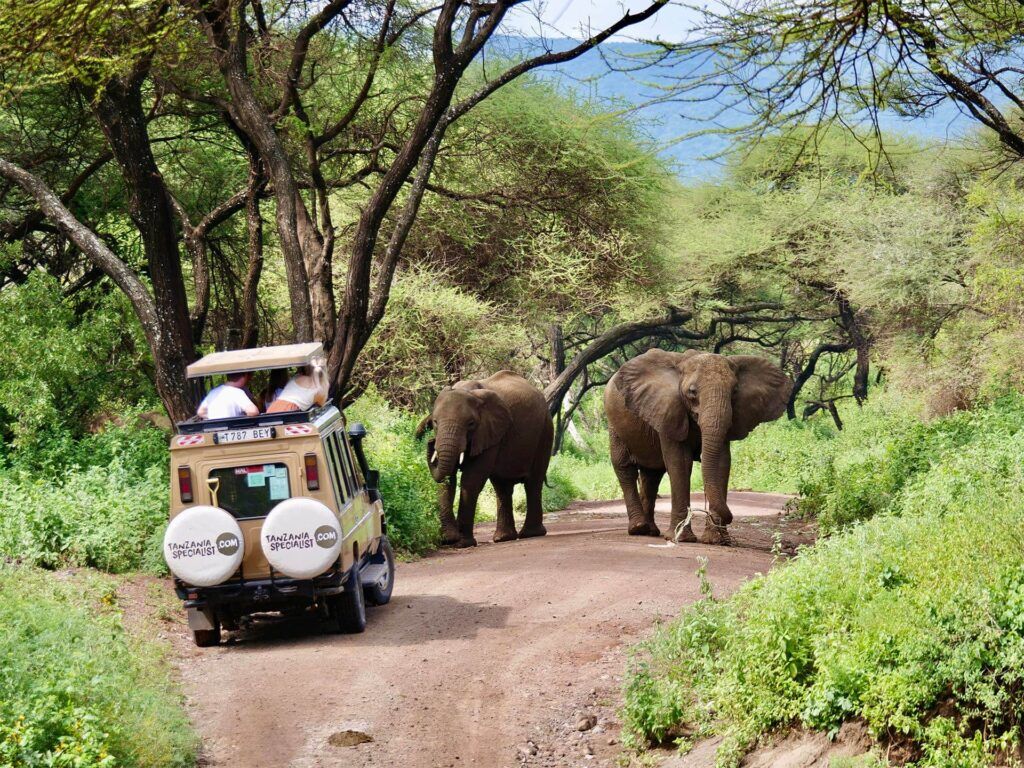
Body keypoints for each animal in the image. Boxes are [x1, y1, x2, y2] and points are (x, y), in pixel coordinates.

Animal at [413, 370, 552, 548]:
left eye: (471, 423)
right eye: (435, 422)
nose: (430, 441)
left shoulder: (490, 433)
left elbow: (471, 480)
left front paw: (462, 543)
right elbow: (447, 481)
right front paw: (449, 539)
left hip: (545, 431)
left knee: (533, 483)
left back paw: (530, 534)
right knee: (502, 487)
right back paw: (503, 538)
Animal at [598, 348, 790, 548]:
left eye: (735, 391)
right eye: (692, 392)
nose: (729, 517)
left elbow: (722, 463)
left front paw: (716, 540)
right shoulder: (669, 411)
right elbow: (680, 463)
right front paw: (681, 538)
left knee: (652, 476)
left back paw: (651, 531)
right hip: (614, 424)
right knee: (625, 467)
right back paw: (638, 528)